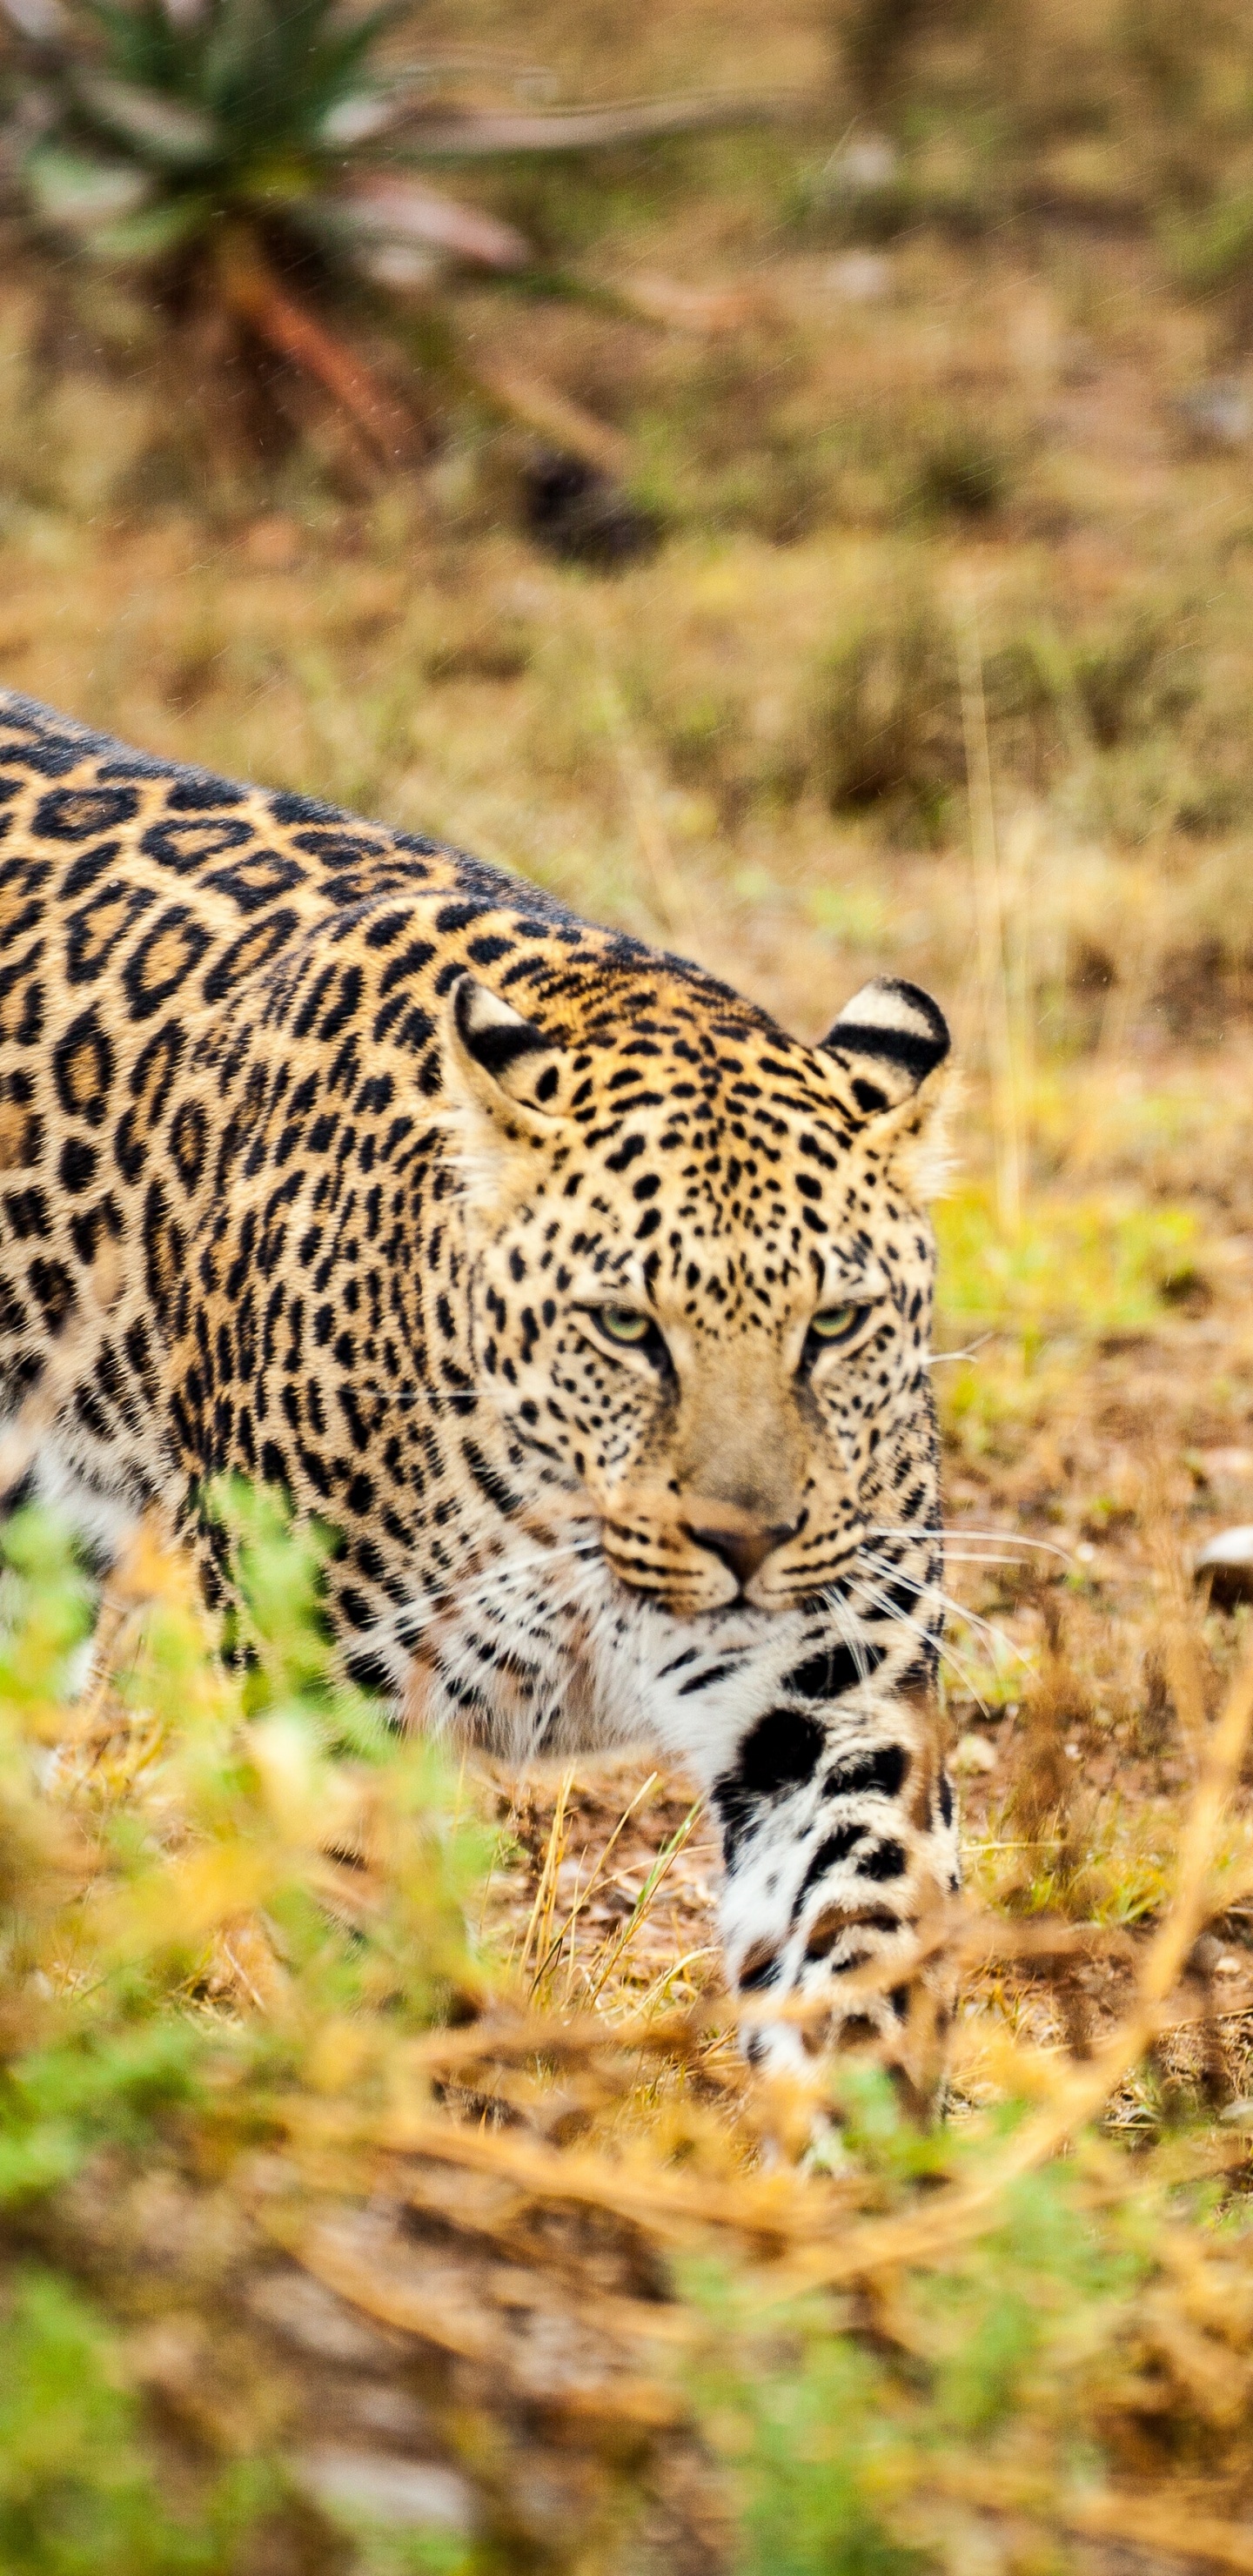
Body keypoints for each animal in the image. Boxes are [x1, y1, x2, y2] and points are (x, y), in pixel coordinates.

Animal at [0, 686, 961, 2099]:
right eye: (627, 1326)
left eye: (832, 1324)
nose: (745, 1542)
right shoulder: (321, 1696)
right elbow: (377, 1956)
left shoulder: (831, 1701)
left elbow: (858, 1948)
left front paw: (872, 2141)